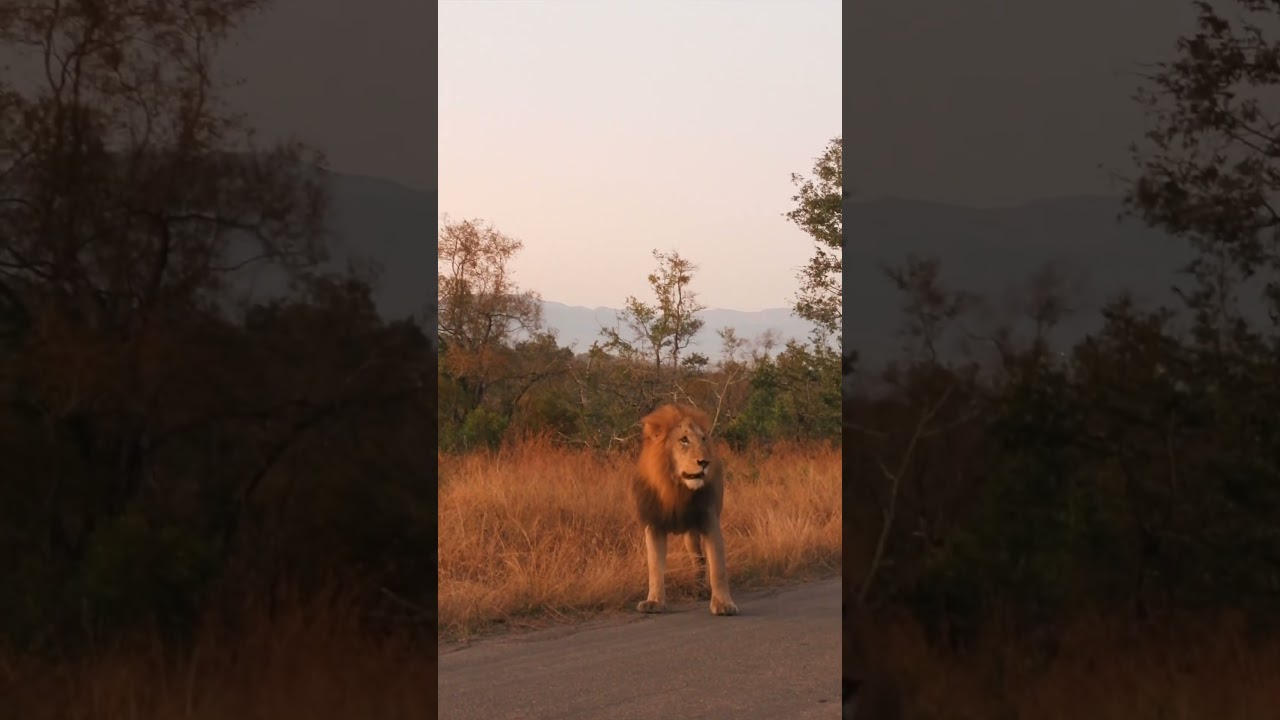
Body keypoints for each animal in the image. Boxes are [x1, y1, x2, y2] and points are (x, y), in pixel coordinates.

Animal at [631, 403, 738, 616]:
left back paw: (702, 590)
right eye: (684, 440)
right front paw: (654, 602)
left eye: (703, 439)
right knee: (698, 559)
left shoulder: (709, 519)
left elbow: (718, 566)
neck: (675, 488)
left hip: (692, 533)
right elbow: (655, 566)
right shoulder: (654, 525)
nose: (705, 462)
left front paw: (723, 604)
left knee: (701, 559)